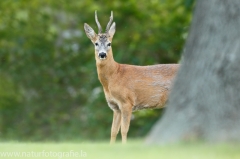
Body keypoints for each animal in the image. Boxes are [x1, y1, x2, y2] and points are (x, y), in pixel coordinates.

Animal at [83, 10, 179, 143]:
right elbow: (113, 131)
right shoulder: (115, 107)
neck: (114, 76)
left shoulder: (126, 102)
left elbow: (124, 130)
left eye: (109, 43)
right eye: (96, 43)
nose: (102, 54)